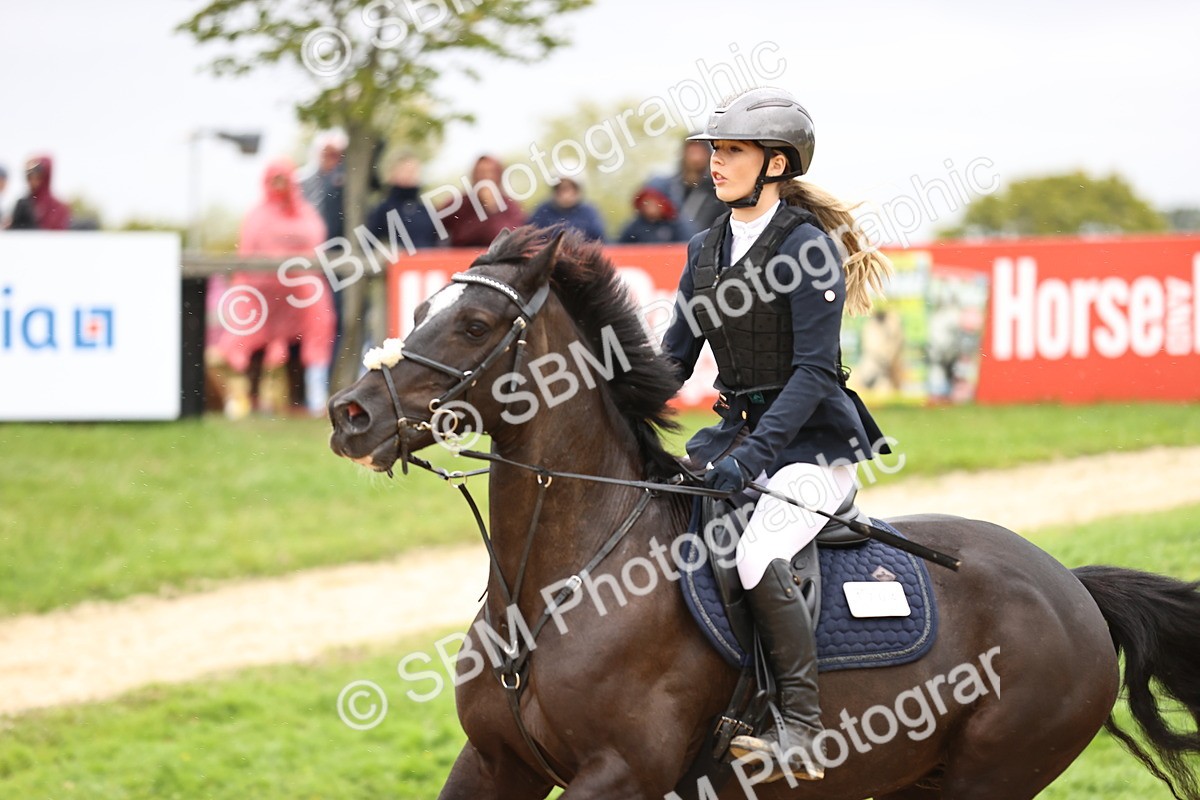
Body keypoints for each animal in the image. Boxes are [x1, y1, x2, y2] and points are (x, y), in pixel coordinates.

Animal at [328, 227, 1200, 799]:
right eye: (422, 309)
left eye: (475, 325)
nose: (350, 415)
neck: (558, 578)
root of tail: (1073, 588)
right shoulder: (492, 763)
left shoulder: (619, 774)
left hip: (988, 780)